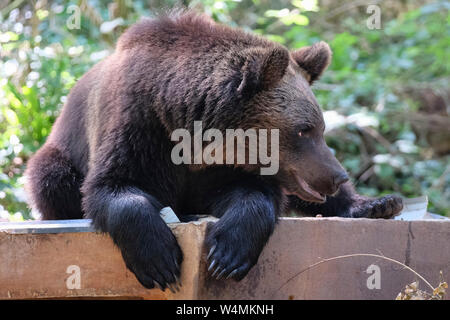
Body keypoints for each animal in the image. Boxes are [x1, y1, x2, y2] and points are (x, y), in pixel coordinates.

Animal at [26, 10, 402, 290]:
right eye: (303, 130)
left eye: (320, 128)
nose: (338, 175)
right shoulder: (138, 123)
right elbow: (111, 186)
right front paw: (159, 259)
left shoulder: (223, 168)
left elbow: (252, 196)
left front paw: (227, 255)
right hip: (59, 153)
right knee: (51, 177)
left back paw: (378, 204)